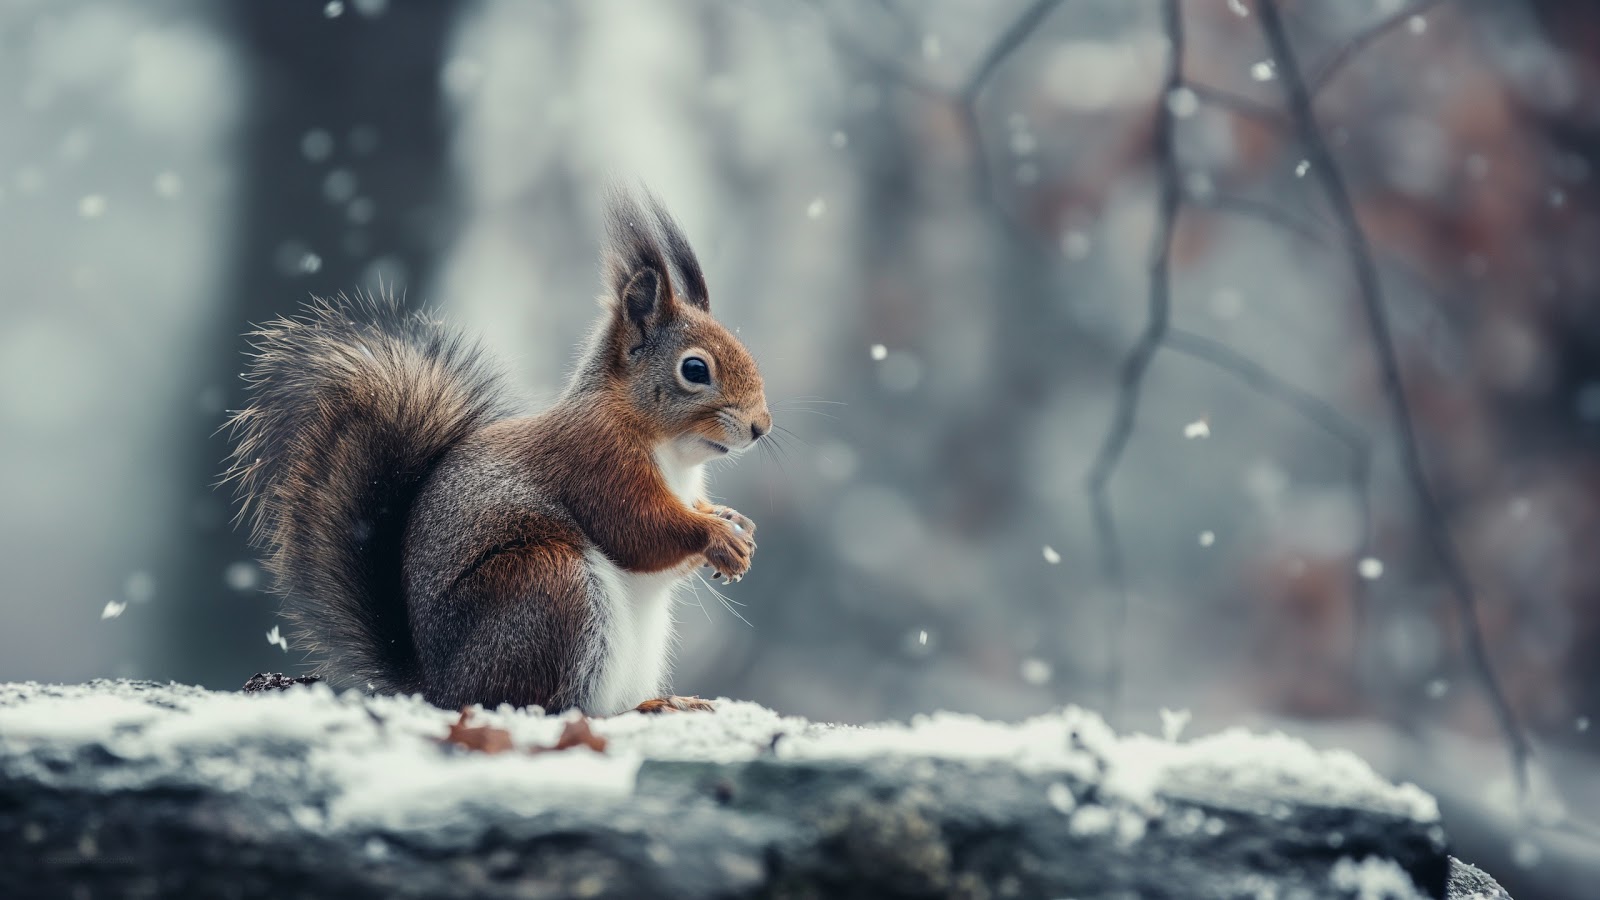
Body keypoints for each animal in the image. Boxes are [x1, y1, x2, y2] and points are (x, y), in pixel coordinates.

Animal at [224, 191, 769, 716]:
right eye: (695, 369)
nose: (760, 427)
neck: (673, 452)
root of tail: (438, 686)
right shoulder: (595, 461)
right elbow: (637, 528)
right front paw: (716, 535)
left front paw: (734, 524)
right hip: (548, 585)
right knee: (538, 703)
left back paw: (666, 701)